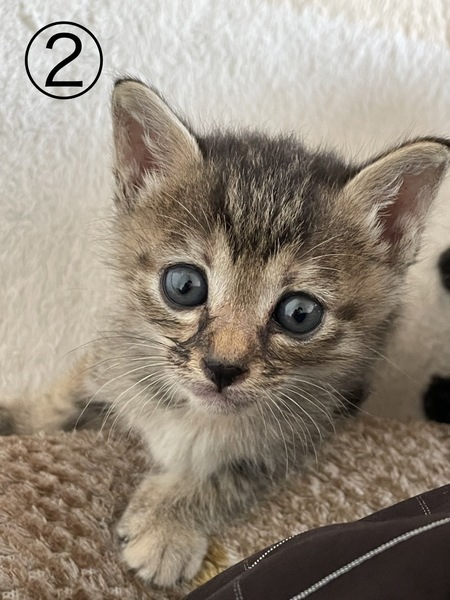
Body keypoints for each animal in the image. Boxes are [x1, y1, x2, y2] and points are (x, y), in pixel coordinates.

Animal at [1, 78, 449, 588]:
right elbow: (60, 399)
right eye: (184, 285)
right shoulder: (113, 352)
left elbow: (228, 475)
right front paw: (16, 419)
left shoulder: (311, 424)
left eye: (300, 313)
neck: (194, 414)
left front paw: (167, 525)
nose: (222, 368)